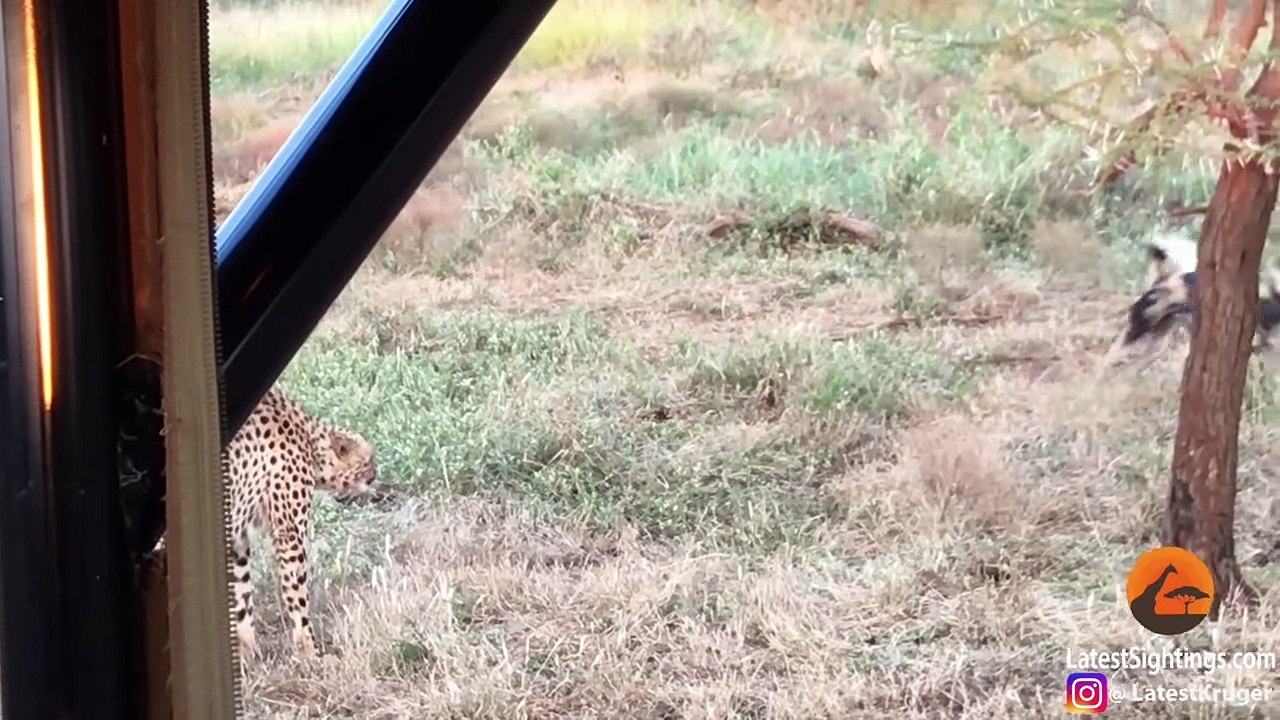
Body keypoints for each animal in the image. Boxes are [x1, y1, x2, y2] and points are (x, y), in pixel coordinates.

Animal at [224, 386, 377, 660]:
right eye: (369, 461)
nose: (376, 474)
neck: (309, 439)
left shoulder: (238, 536)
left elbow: (242, 595)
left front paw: (246, 653)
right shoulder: (289, 533)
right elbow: (296, 591)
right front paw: (308, 650)